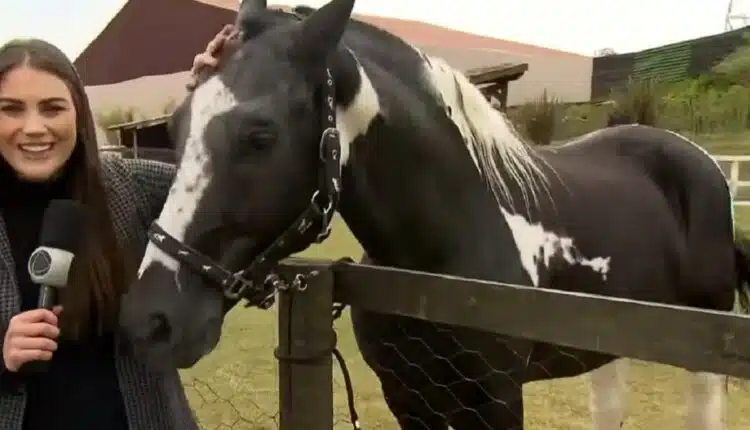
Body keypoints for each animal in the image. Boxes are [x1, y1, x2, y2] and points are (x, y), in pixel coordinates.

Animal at [118, 1, 750, 429]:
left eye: (260, 136)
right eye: (174, 128)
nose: (150, 321)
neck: (440, 263)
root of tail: (701, 163)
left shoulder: (496, 399)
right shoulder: (407, 395)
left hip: (706, 344)